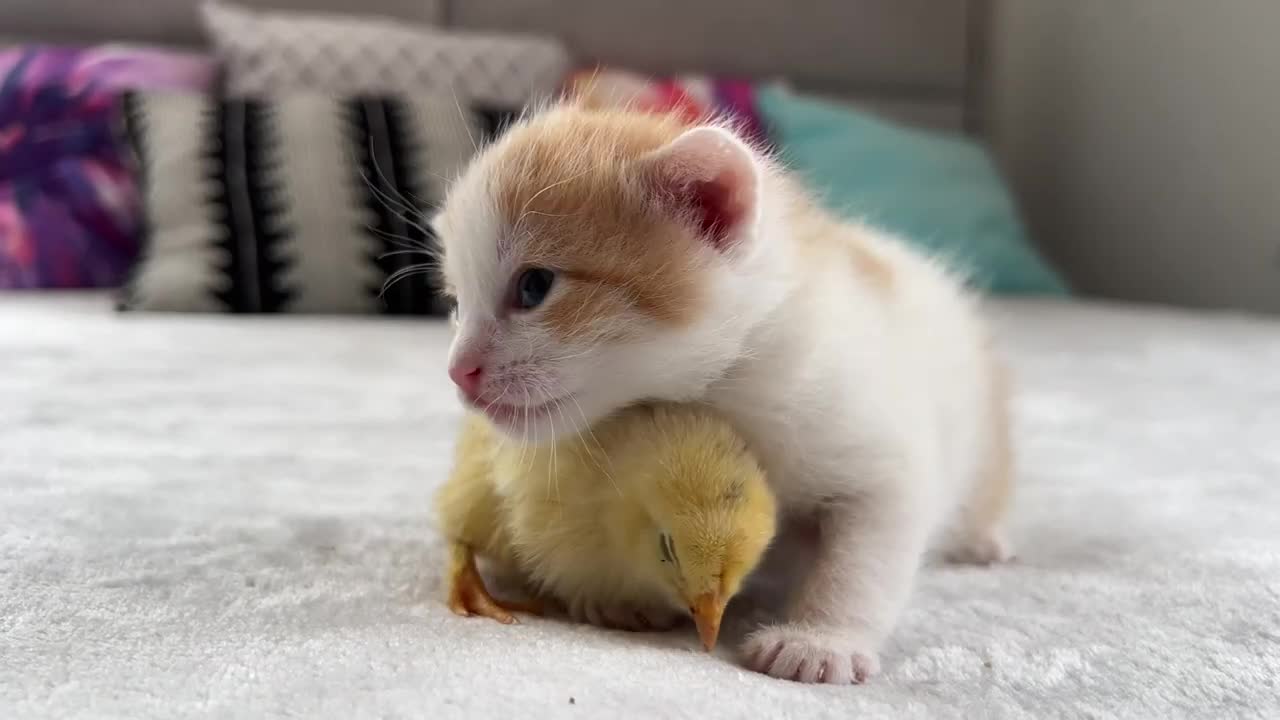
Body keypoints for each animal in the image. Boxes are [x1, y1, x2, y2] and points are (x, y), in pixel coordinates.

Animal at [435, 102, 1013, 681]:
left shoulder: (877, 444)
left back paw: (983, 541)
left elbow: (863, 557)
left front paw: (820, 640)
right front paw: (616, 596)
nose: (459, 371)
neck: (730, 392)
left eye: (534, 286)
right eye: (457, 304)